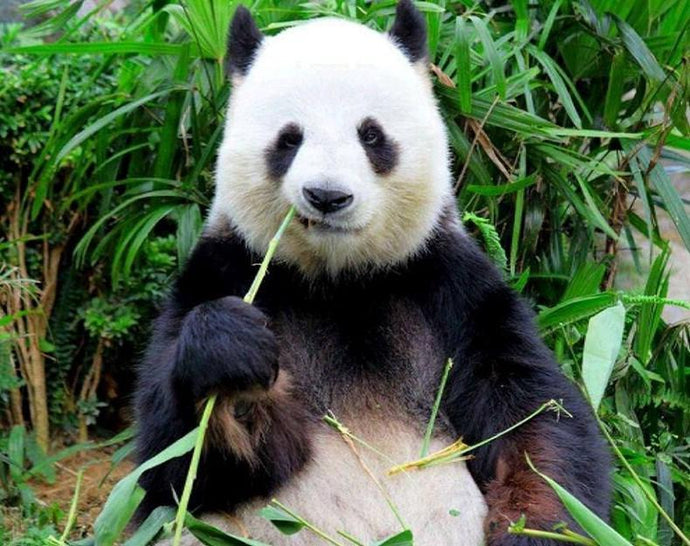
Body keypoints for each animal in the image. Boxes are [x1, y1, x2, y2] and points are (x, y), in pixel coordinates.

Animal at [135, 1, 611, 544]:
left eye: (371, 135)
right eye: (289, 139)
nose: (327, 196)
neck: (340, 279)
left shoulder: (450, 287)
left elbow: (534, 419)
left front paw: (535, 524)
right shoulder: (224, 269)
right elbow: (181, 466)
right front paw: (233, 360)